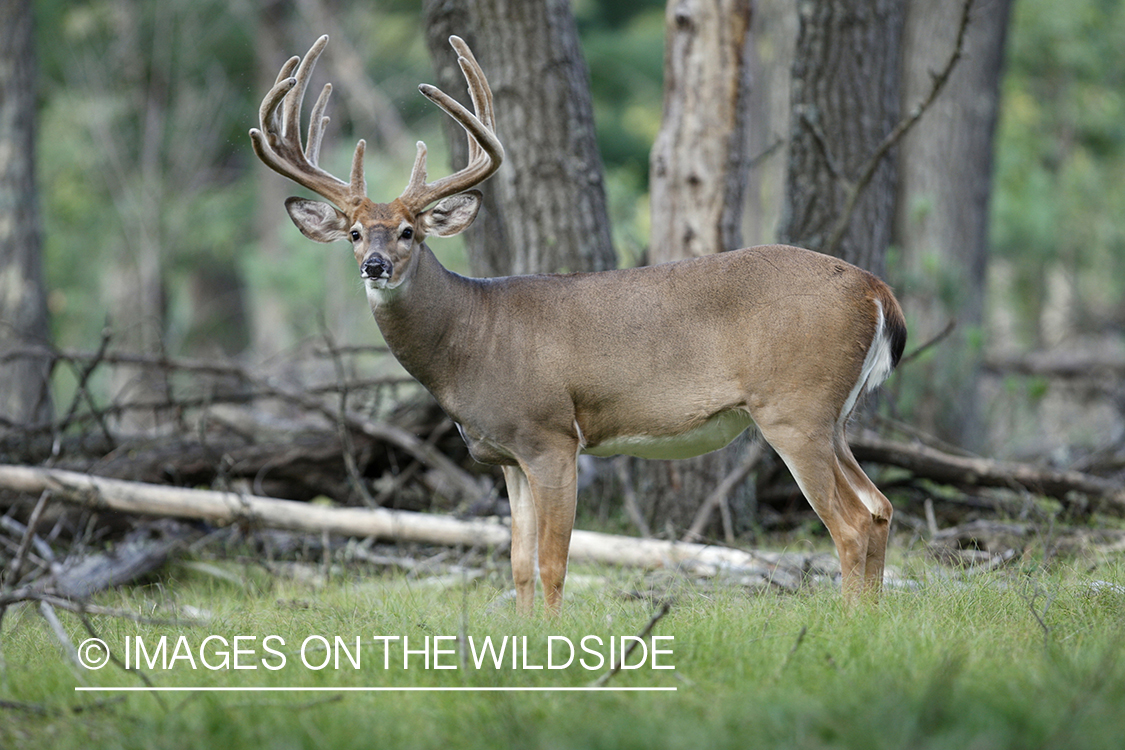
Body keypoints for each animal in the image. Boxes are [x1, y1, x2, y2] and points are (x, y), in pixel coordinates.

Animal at [253, 35, 904, 616]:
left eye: (410, 231)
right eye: (354, 232)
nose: (375, 265)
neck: (471, 337)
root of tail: (878, 290)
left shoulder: (550, 435)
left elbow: (552, 561)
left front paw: (552, 641)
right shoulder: (506, 454)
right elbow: (516, 563)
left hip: (794, 406)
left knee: (849, 522)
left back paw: (850, 623)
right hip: (833, 415)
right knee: (879, 507)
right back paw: (870, 619)